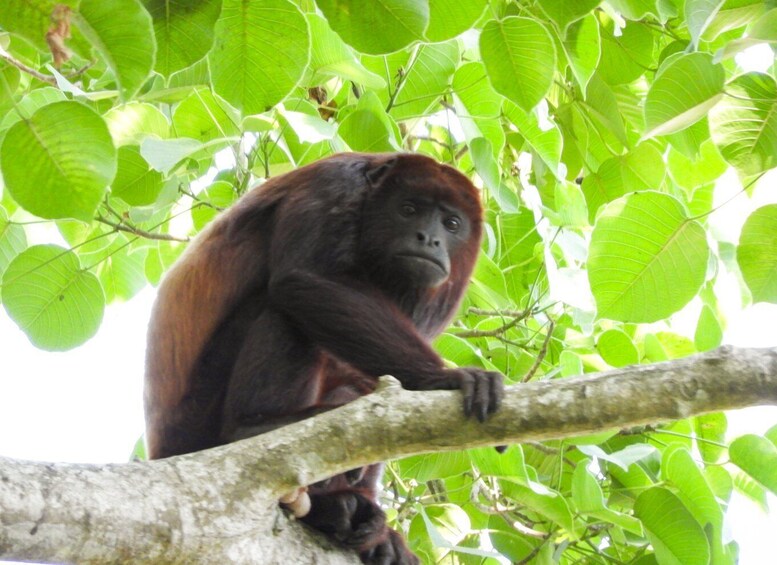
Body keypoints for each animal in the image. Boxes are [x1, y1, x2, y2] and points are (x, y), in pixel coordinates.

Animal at [145, 152, 504, 560]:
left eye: (452, 224)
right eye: (408, 209)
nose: (429, 238)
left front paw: (379, 533)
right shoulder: (333, 184)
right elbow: (306, 278)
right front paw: (443, 378)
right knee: (282, 306)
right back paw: (252, 428)